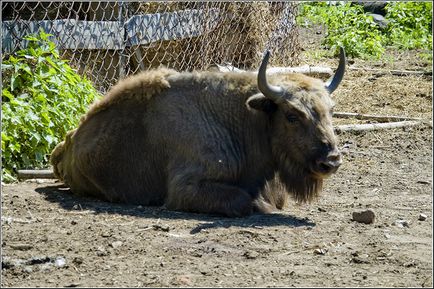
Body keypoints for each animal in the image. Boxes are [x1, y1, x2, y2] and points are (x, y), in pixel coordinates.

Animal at [50, 47, 346, 216]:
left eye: (331, 110)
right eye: (291, 115)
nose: (330, 161)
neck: (243, 117)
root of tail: (66, 145)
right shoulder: (185, 189)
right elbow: (243, 200)